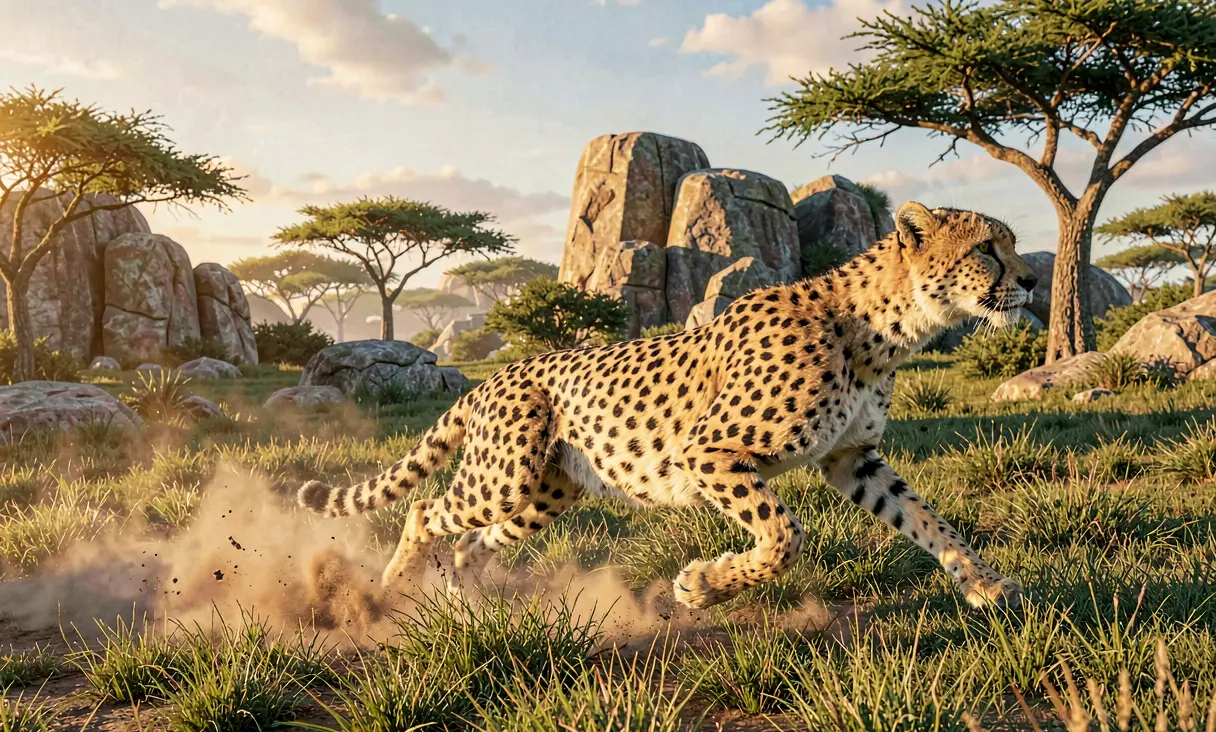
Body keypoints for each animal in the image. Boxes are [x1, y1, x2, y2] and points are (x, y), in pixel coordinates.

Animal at [297, 201, 1038, 610]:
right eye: (986, 248)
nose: (1032, 280)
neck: (880, 327)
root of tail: (496, 375)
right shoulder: (709, 451)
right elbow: (783, 537)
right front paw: (700, 587)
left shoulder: (853, 458)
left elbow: (929, 520)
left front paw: (985, 584)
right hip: (503, 478)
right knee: (426, 510)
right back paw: (390, 588)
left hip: (547, 492)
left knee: (473, 539)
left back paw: (465, 597)